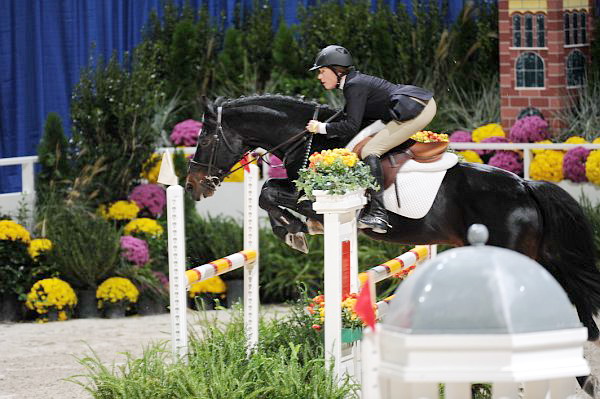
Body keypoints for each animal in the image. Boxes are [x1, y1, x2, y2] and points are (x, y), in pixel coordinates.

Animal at [185, 94, 600, 344]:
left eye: (203, 141)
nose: (192, 187)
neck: (308, 140)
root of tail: (526, 185)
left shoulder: (323, 197)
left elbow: (270, 192)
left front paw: (294, 230)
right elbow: (269, 190)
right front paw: (295, 230)